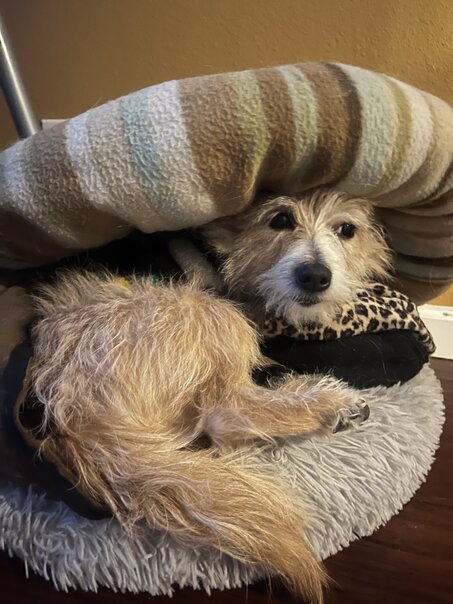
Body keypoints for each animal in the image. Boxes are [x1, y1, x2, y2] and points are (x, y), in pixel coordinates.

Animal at [25, 189, 391, 602]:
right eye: (279, 219)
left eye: (347, 229)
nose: (314, 275)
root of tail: (79, 416)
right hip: (204, 308)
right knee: (226, 413)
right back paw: (331, 404)